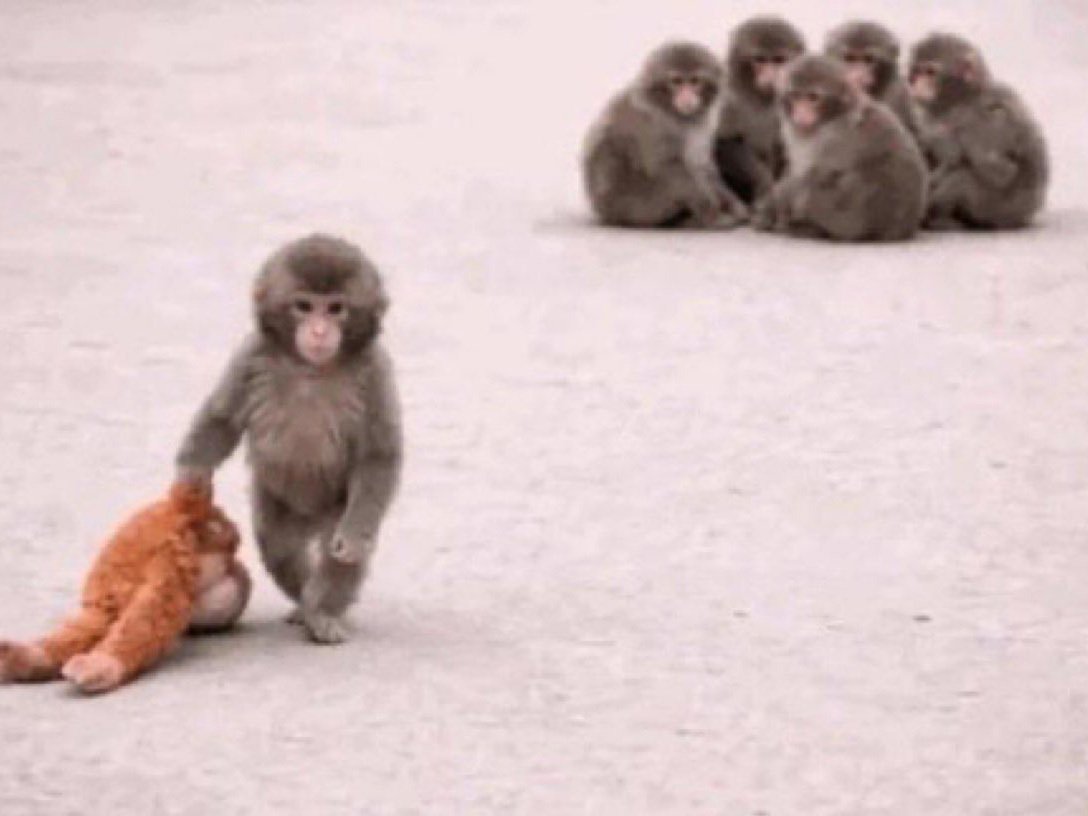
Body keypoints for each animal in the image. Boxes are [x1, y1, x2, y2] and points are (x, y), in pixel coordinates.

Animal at [174, 233, 402, 644]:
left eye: (336, 309)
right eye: (304, 306)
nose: (319, 331)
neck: (311, 367)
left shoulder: (376, 369)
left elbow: (378, 456)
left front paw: (352, 543)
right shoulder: (250, 354)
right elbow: (222, 419)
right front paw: (191, 476)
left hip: (336, 508)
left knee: (335, 552)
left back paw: (322, 610)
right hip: (280, 504)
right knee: (278, 547)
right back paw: (304, 599)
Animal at [581, 41, 749, 229]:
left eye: (695, 81)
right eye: (676, 81)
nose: (686, 96)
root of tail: (605, 214)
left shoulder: (701, 125)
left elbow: (702, 165)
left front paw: (733, 204)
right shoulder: (654, 123)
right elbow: (666, 165)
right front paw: (711, 212)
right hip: (639, 208)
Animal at [714, 15, 806, 205]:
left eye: (779, 60)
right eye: (760, 59)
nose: (771, 76)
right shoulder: (727, 93)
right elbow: (724, 141)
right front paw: (763, 182)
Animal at [751, 55, 927, 242]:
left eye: (813, 97)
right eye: (795, 96)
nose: (801, 114)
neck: (833, 115)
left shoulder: (833, 138)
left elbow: (813, 175)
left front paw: (774, 206)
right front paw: (769, 208)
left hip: (853, 215)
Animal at [908, 33, 1049, 230]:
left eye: (930, 72)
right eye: (917, 71)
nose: (915, 84)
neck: (962, 98)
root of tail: (1027, 214)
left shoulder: (979, 123)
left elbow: (1002, 172)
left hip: (1000, 210)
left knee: (962, 178)